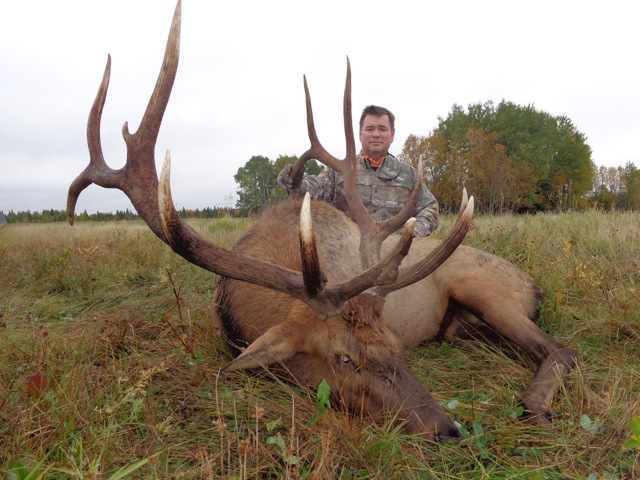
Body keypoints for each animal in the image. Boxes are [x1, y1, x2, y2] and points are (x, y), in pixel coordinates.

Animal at [67, 1, 577, 442]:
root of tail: (534, 285)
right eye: (344, 359)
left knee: (561, 349)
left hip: (487, 289)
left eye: (396, 344)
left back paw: (535, 406)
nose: (447, 428)